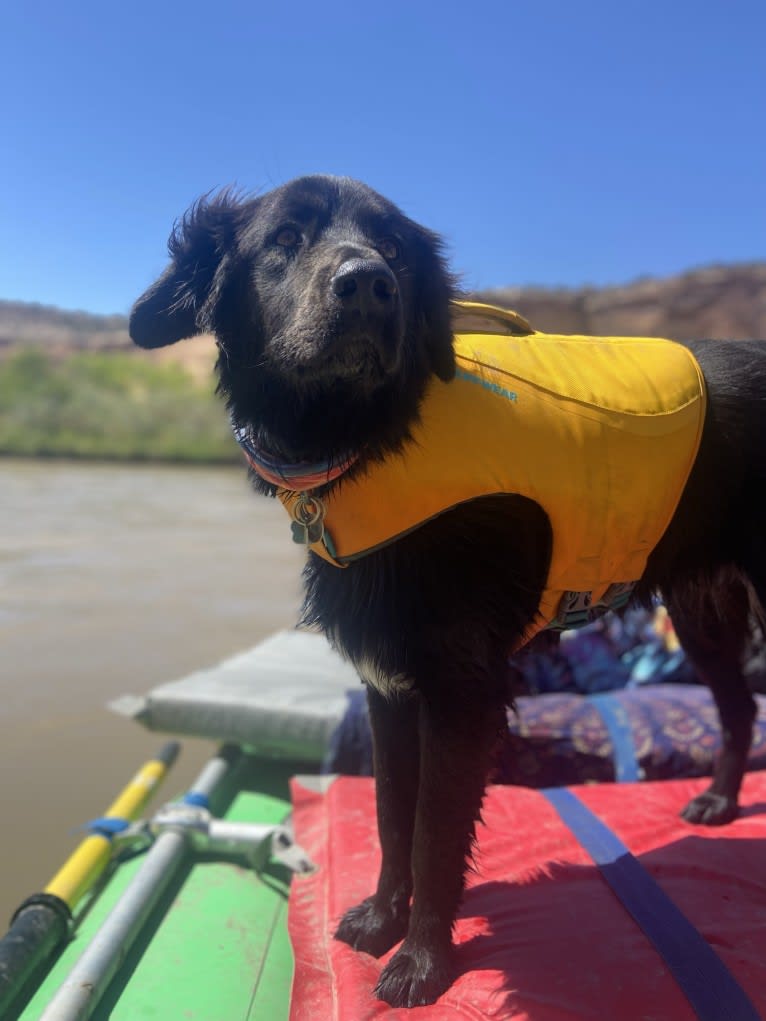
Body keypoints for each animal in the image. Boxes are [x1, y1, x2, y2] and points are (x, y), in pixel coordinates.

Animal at [131, 173, 766, 1004]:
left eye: (394, 248)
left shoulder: (461, 691)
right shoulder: (390, 686)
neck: (370, 439)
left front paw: (422, 962)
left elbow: (434, 831)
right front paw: (381, 917)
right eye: (285, 238)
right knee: (739, 706)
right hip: (703, 612)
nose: (368, 284)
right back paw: (720, 802)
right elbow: (390, 814)